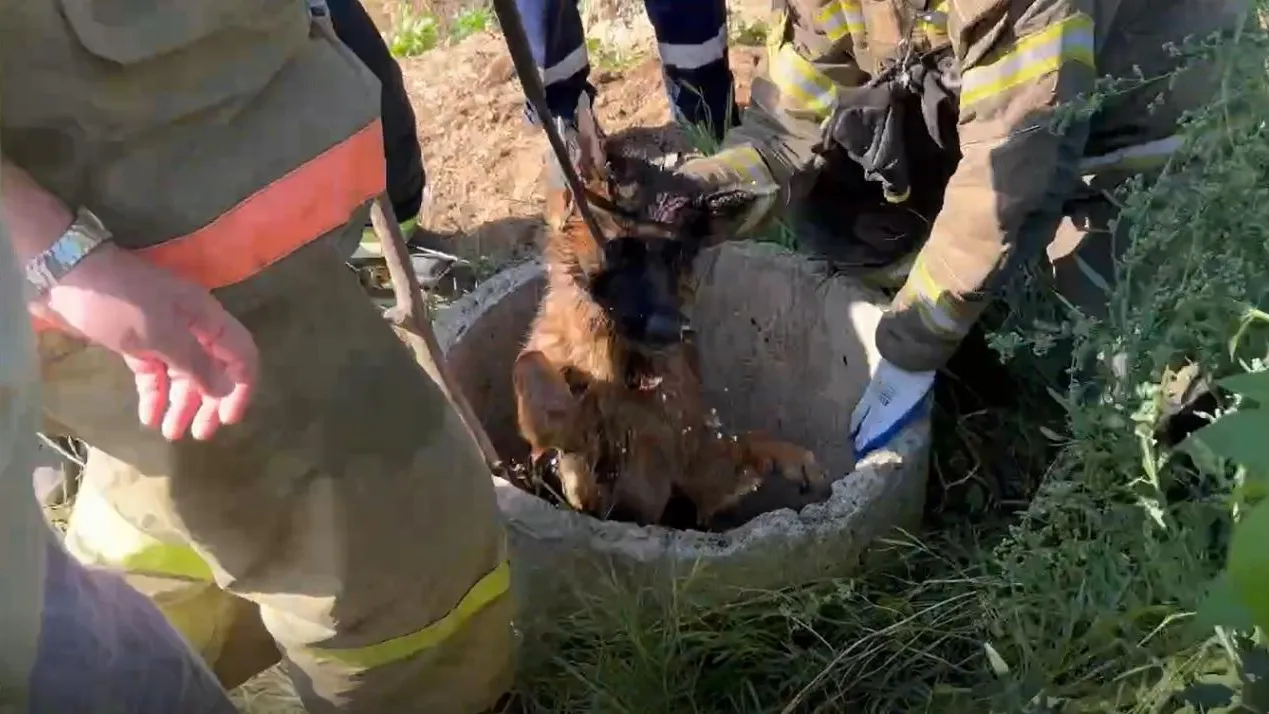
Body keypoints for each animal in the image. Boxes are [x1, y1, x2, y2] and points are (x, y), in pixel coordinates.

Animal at [510, 107, 827, 530]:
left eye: (678, 254)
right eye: (623, 250)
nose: (675, 331)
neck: (619, 364)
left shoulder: (691, 461)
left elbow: (741, 445)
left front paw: (792, 457)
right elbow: (529, 363)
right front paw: (557, 417)